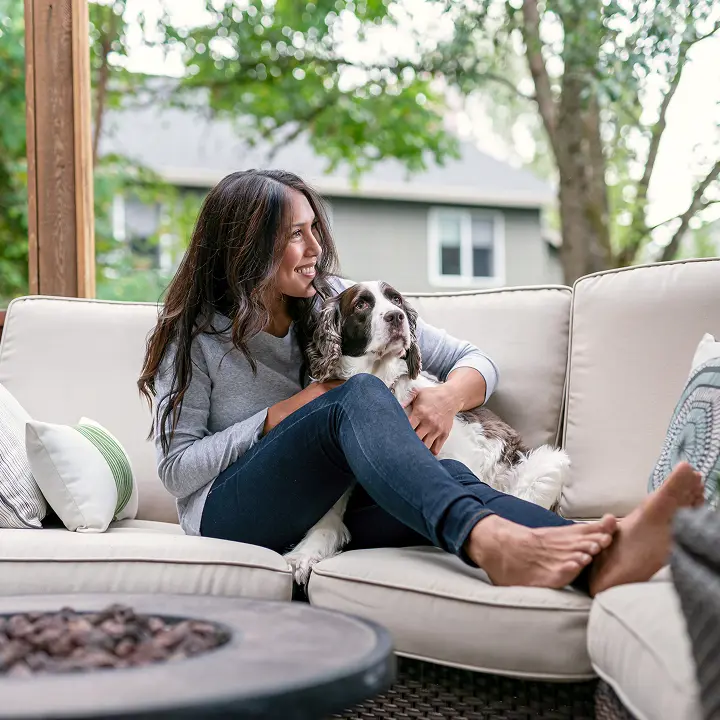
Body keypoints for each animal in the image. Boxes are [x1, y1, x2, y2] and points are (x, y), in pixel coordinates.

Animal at [284, 280, 570, 585]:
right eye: (361, 304)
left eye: (396, 299)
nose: (396, 316)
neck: (381, 380)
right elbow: (327, 518)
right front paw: (303, 555)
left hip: (548, 464)